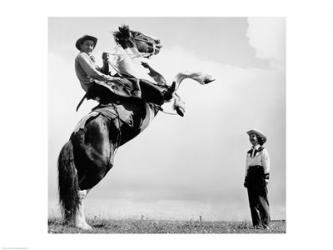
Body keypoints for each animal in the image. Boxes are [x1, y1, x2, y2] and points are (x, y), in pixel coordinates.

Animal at [57, 24, 214, 229]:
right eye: (139, 34)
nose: (158, 42)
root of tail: (73, 138)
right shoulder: (162, 94)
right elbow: (177, 78)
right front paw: (205, 78)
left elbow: (168, 80)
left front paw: (180, 105)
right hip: (100, 167)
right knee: (79, 193)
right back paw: (82, 225)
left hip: (87, 168)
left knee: (77, 192)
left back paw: (81, 224)